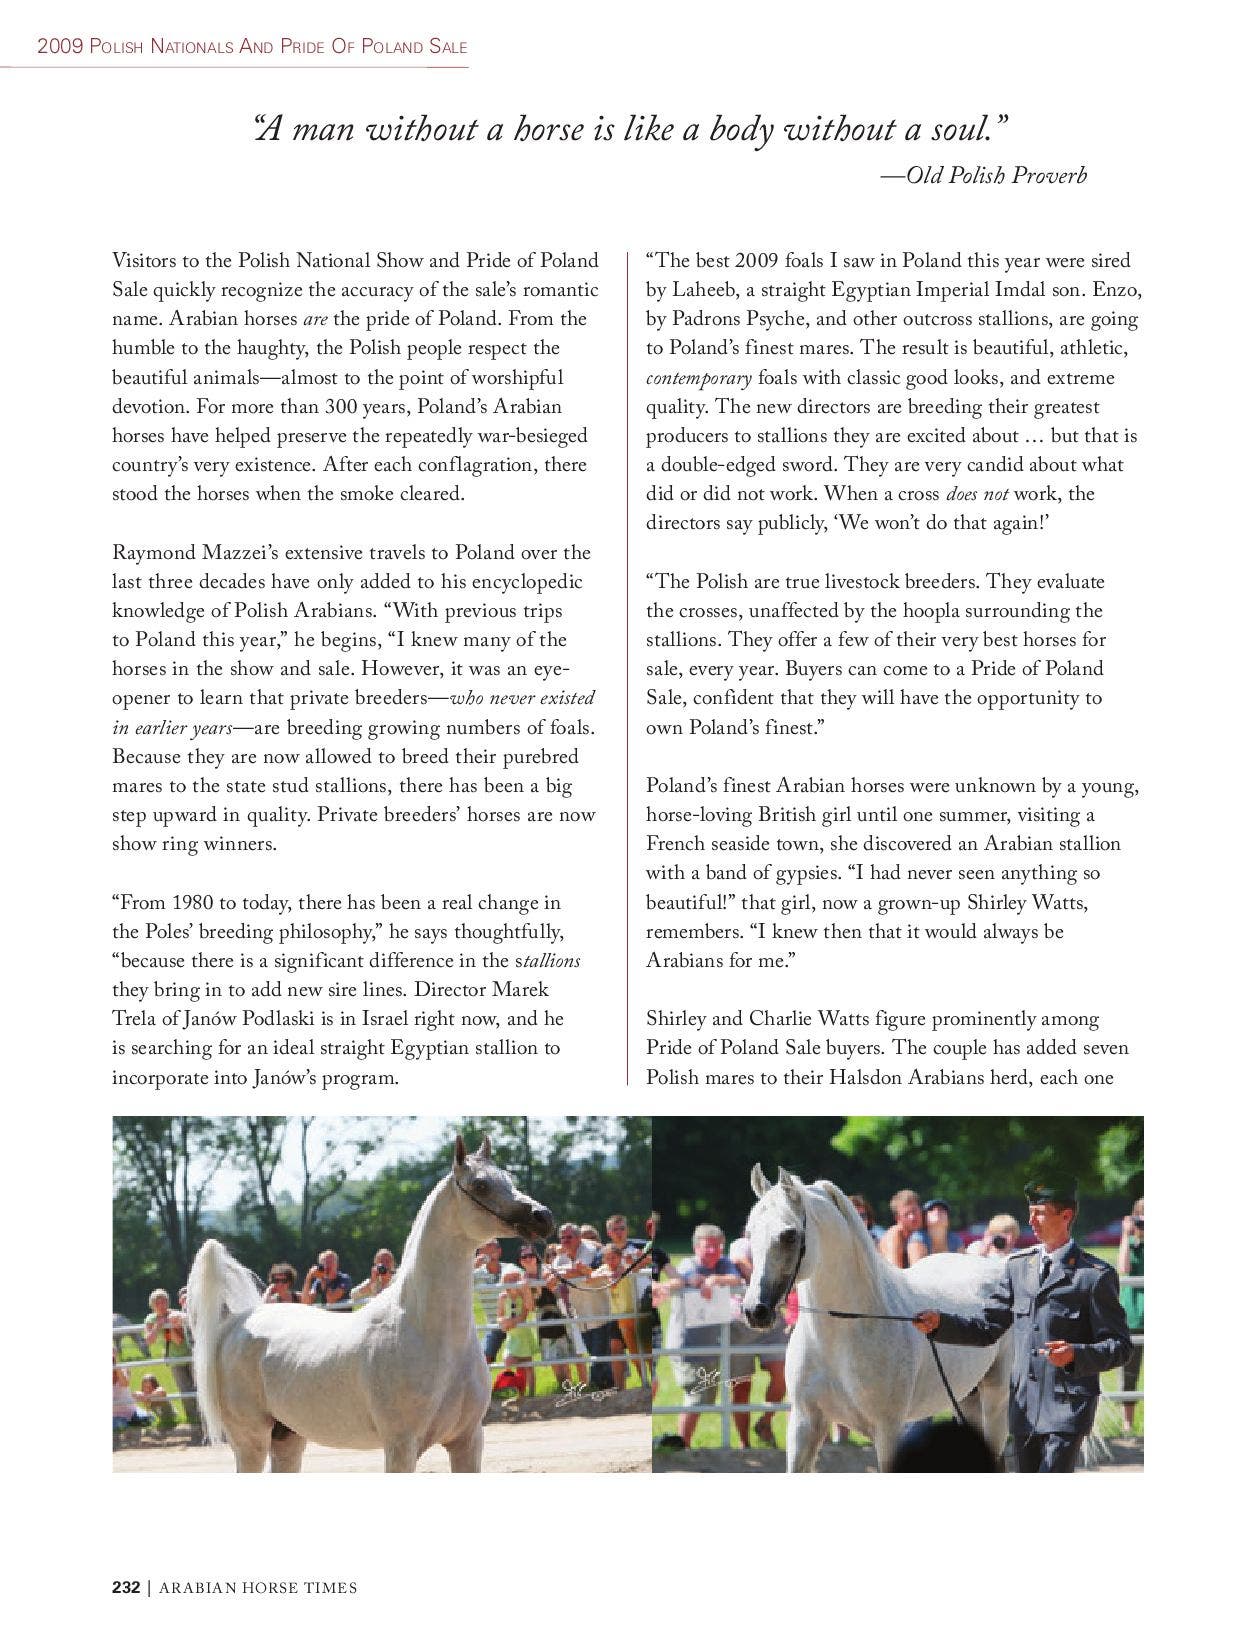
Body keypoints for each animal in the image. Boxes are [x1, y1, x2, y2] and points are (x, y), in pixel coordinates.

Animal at [185, 1134, 553, 1472]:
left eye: (509, 1178)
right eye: (480, 1185)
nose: (543, 1217)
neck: (429, 1333)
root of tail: (236, 1322)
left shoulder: (467, 1441)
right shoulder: (401, 1446)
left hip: (288, 1439)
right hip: (251, 1443)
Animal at [741, 1165, 1013, 1470]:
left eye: (789, 1235)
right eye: (749, 1233)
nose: (755, 1311)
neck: (845, 1330)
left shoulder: (888, 1431)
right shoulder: (804, 1422)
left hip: (995, 1399)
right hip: (965, 1399)